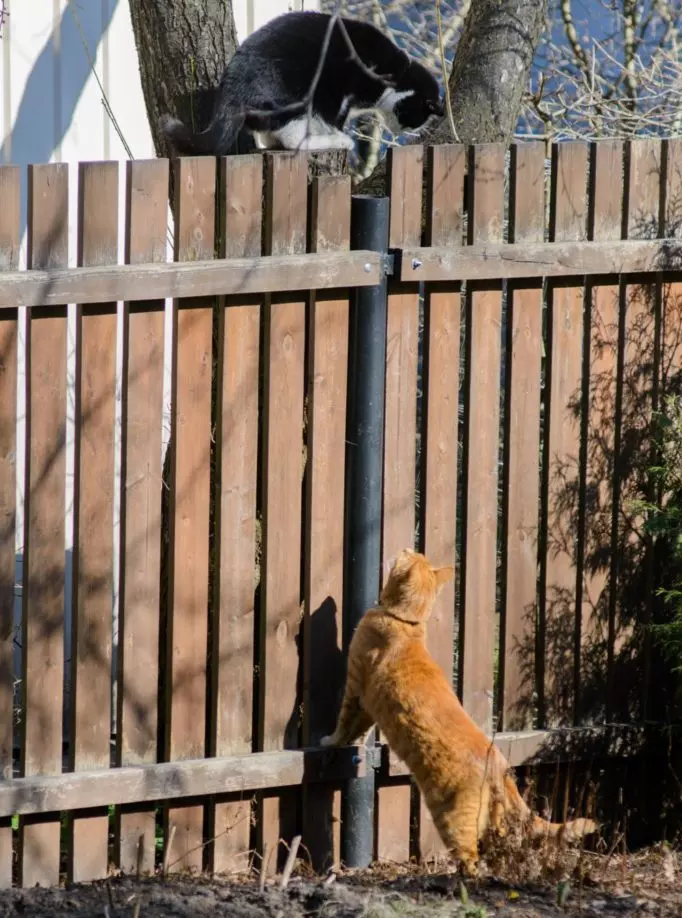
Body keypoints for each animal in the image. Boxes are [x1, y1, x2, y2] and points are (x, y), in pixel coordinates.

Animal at [159, 9, 440, 156]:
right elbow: (332, 118)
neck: (396, 74)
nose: (401, 132)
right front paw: (337, 135)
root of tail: (232, 86)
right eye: (413, 118)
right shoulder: (338, 92)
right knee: (295, 140)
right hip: (295, 95)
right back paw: (334, 141)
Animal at [322, 548, 592, 872]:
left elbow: (343, 724)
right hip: (494, 821)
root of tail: (499, 762)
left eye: (411, 554)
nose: (406, 548)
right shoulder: (368, 704)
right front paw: (356, 744)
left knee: (471, 860)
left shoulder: (355, 689)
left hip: (453, 819)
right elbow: (359, 731)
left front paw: (330, 741)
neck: (406, 623)